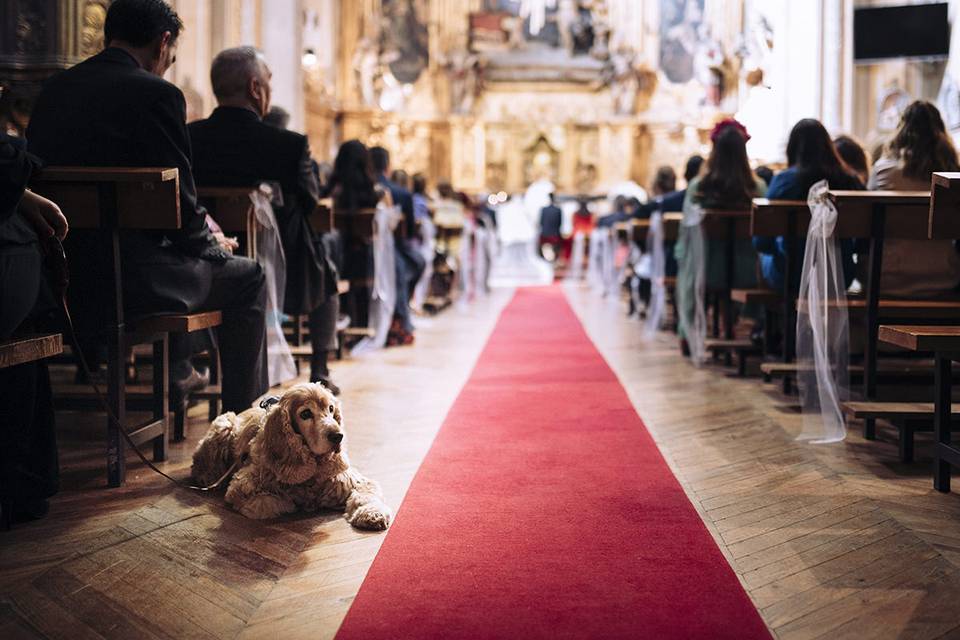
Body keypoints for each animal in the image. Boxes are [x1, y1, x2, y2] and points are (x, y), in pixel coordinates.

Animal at [190, 382, 390, 528]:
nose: (338, 436)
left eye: (331, 409)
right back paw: (206, 477)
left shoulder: (354, 481)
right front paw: (296, 501)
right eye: (306, 413)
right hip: (223, 425)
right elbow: (270, 502)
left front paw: (372, 514)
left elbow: (367, 494)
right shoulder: (241, 487)